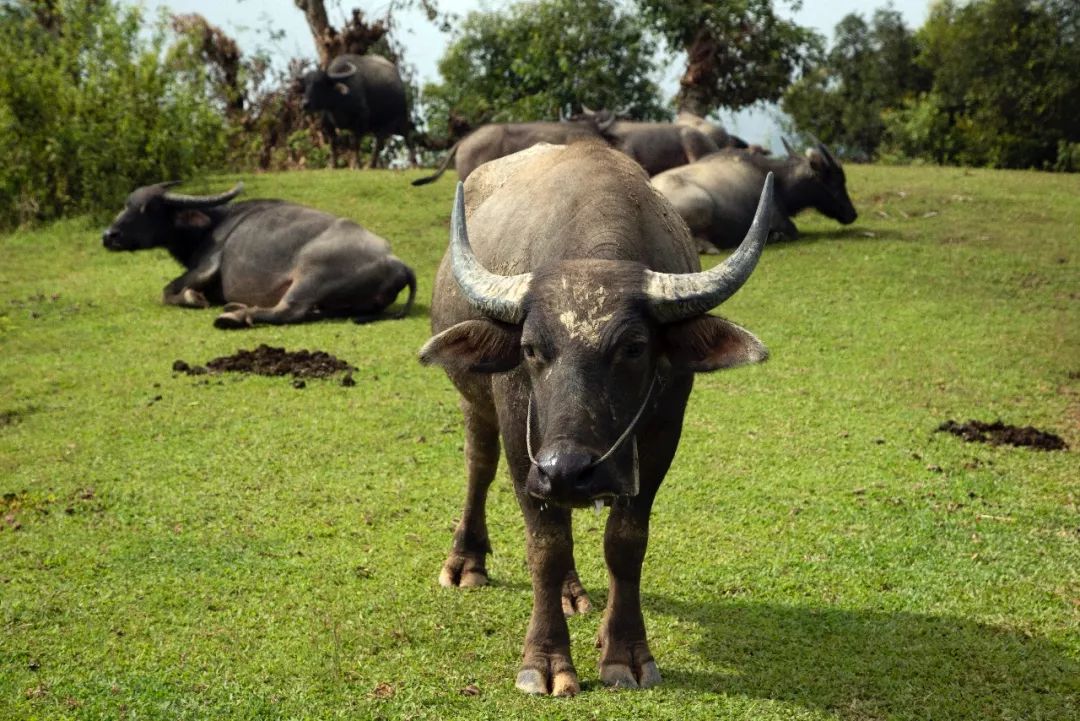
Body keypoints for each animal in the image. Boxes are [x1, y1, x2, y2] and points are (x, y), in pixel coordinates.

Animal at [101, 181, 414, 328]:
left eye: (148, 208)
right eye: (126, 204)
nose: (109, 235)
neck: (209, 225)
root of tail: (397, 262)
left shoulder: (206, 266)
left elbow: (168, 290)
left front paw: (193, 297)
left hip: (310, 275)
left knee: (289, 311)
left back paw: (234, 316)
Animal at [414, 143, 777, 695]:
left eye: (634, 347)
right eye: (530, 348)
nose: (568, 468)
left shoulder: (661, 434)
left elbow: (625, 542)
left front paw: (625, 652)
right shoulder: (524, 444)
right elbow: (544, 545)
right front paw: (544, 662)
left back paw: (570, 592)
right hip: (477, 405)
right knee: (480, 465)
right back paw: (465, 561)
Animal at [648, 137, 859, 250]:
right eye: (836, 180)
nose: (852, 213)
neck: (780, 181)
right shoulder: (779, 220)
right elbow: (793, 231)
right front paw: (775, 237)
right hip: (703, 204)